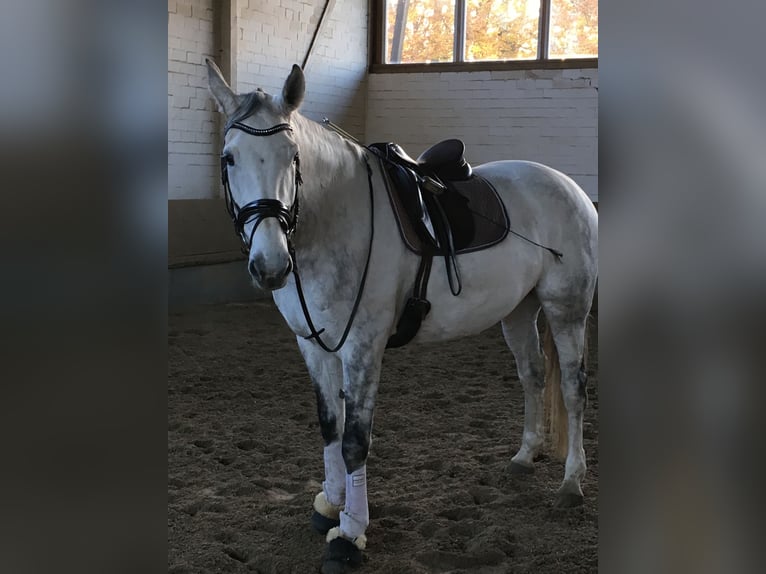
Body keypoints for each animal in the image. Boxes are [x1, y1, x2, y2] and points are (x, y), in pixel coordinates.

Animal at [206, 59, 600, 574]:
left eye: (292, 156)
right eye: (230, 158)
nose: (270, 265)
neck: (333, 221)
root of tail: (570, 187)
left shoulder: (363, 346)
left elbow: (355, 440)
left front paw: (350, 533)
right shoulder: (313, 346)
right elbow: (330, 425)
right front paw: (331, 505)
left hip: (566, 309)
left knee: (573, 389)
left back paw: (572, 482)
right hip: (518, 311)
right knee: (532, 376)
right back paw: (523, 457)